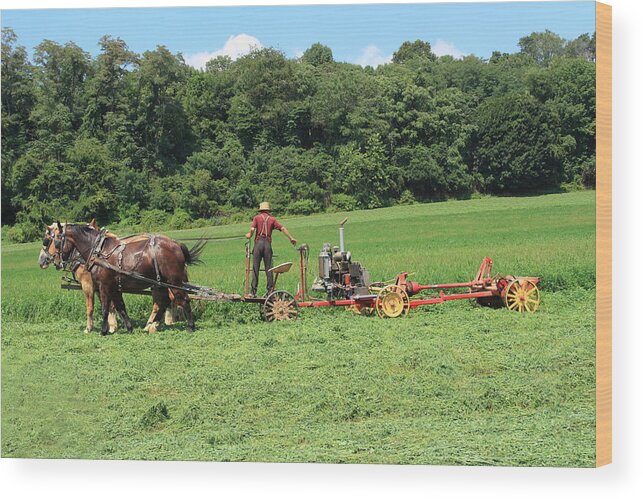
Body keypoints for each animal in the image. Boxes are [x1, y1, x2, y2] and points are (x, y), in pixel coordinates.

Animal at [50, 224, 204, 336]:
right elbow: (121, 307)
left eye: (57, 240)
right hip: (161, 283)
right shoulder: (114, 287)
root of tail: (176, 244)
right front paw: (129, 328)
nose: (55, 260)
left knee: (183, 299)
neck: (99, 252)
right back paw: (152, 326)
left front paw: (103, 331)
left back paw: (190, 326)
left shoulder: (104, 286)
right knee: (165, 302)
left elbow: (105, 308)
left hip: (174, 282)